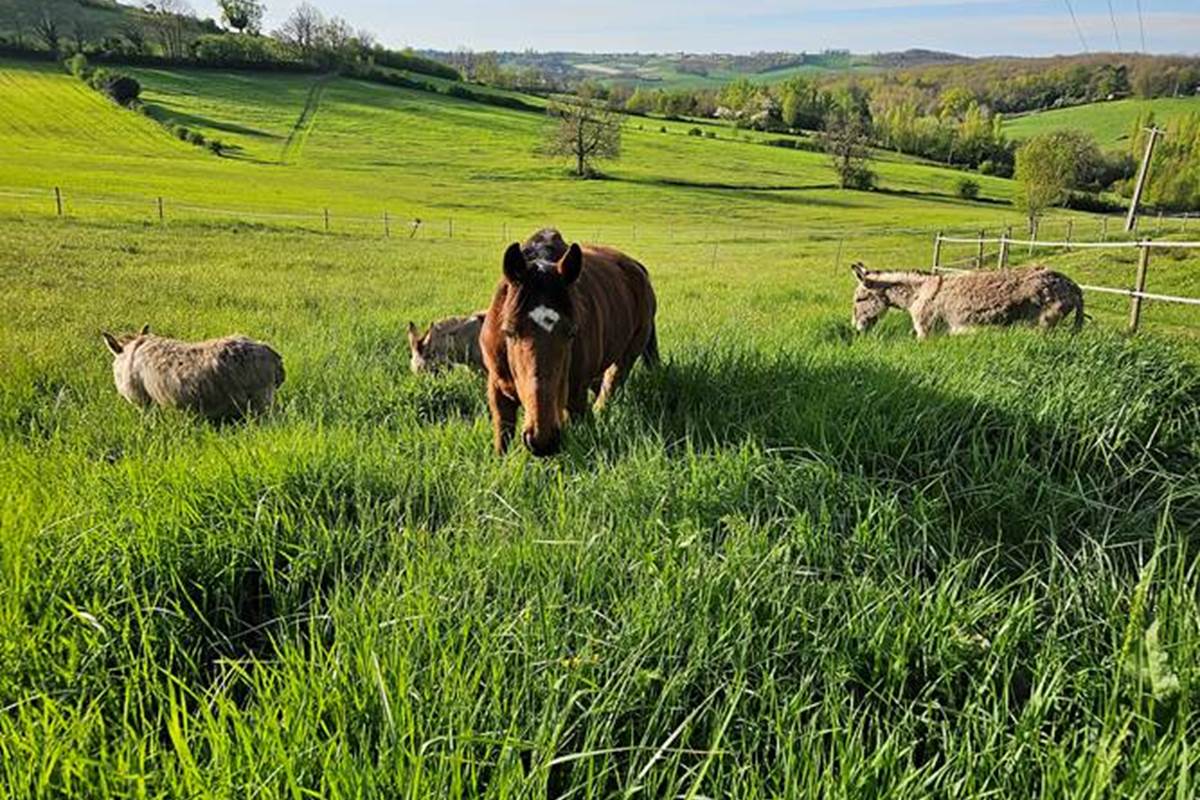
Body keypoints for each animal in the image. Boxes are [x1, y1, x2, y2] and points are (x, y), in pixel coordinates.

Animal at [480, 231, 657, 455]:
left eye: (572, 333)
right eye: (509, 332)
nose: (542, 441)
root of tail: (636, 266)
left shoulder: (576, 398)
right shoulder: (498, 391)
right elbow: (501, 441)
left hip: (626, 357)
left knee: (609, 389)